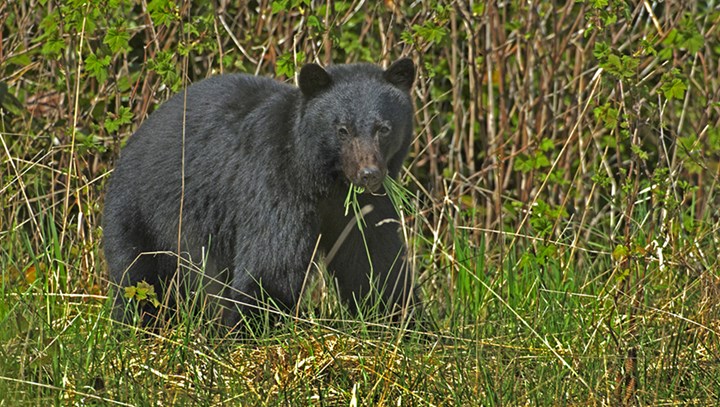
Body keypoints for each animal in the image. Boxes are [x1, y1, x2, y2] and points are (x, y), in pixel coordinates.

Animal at [102, 58, 416, 328]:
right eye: (342, 129)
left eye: (383, 128)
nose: (369, 173)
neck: (327, 180)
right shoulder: (277, 182)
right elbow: (272, 264)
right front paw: (249, 330)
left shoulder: (365, 205)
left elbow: (374, 260)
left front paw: (404, 322)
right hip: (142, 213)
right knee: (140, 278)